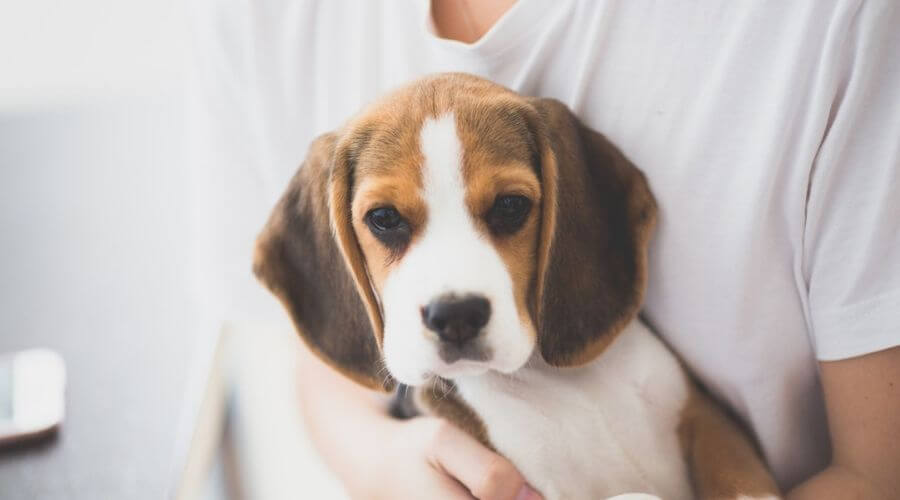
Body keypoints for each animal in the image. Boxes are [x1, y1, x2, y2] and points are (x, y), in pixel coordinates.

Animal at [255, 71, 780, 500]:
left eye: (510, 206)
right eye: (383, 218)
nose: (456, 315)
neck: (558, 383)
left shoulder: (704, 418)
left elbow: (743, 484)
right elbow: (633, 497)